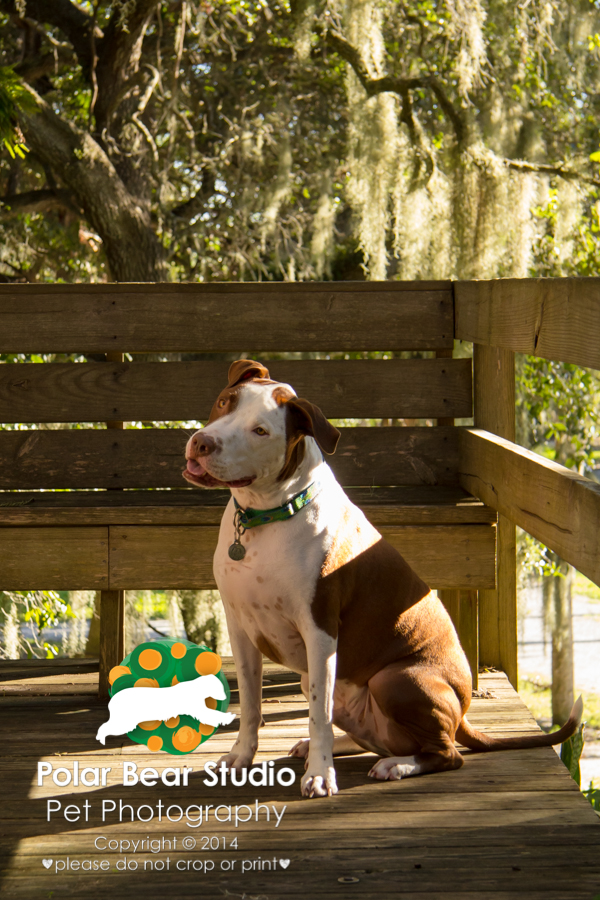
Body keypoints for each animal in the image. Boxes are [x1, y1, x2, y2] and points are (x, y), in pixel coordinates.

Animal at [183, 358, 580, 796]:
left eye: (260, 431)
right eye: (225, 402)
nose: (202, 442)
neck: (266, 515)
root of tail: (463, 715)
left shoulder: (320, 632)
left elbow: (318, 712)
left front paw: (320, 775)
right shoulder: (240, 628)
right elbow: (252, 704)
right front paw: (240, 757)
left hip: (396, 679)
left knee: (445, 754)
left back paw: (397, 765)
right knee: (367, 734)